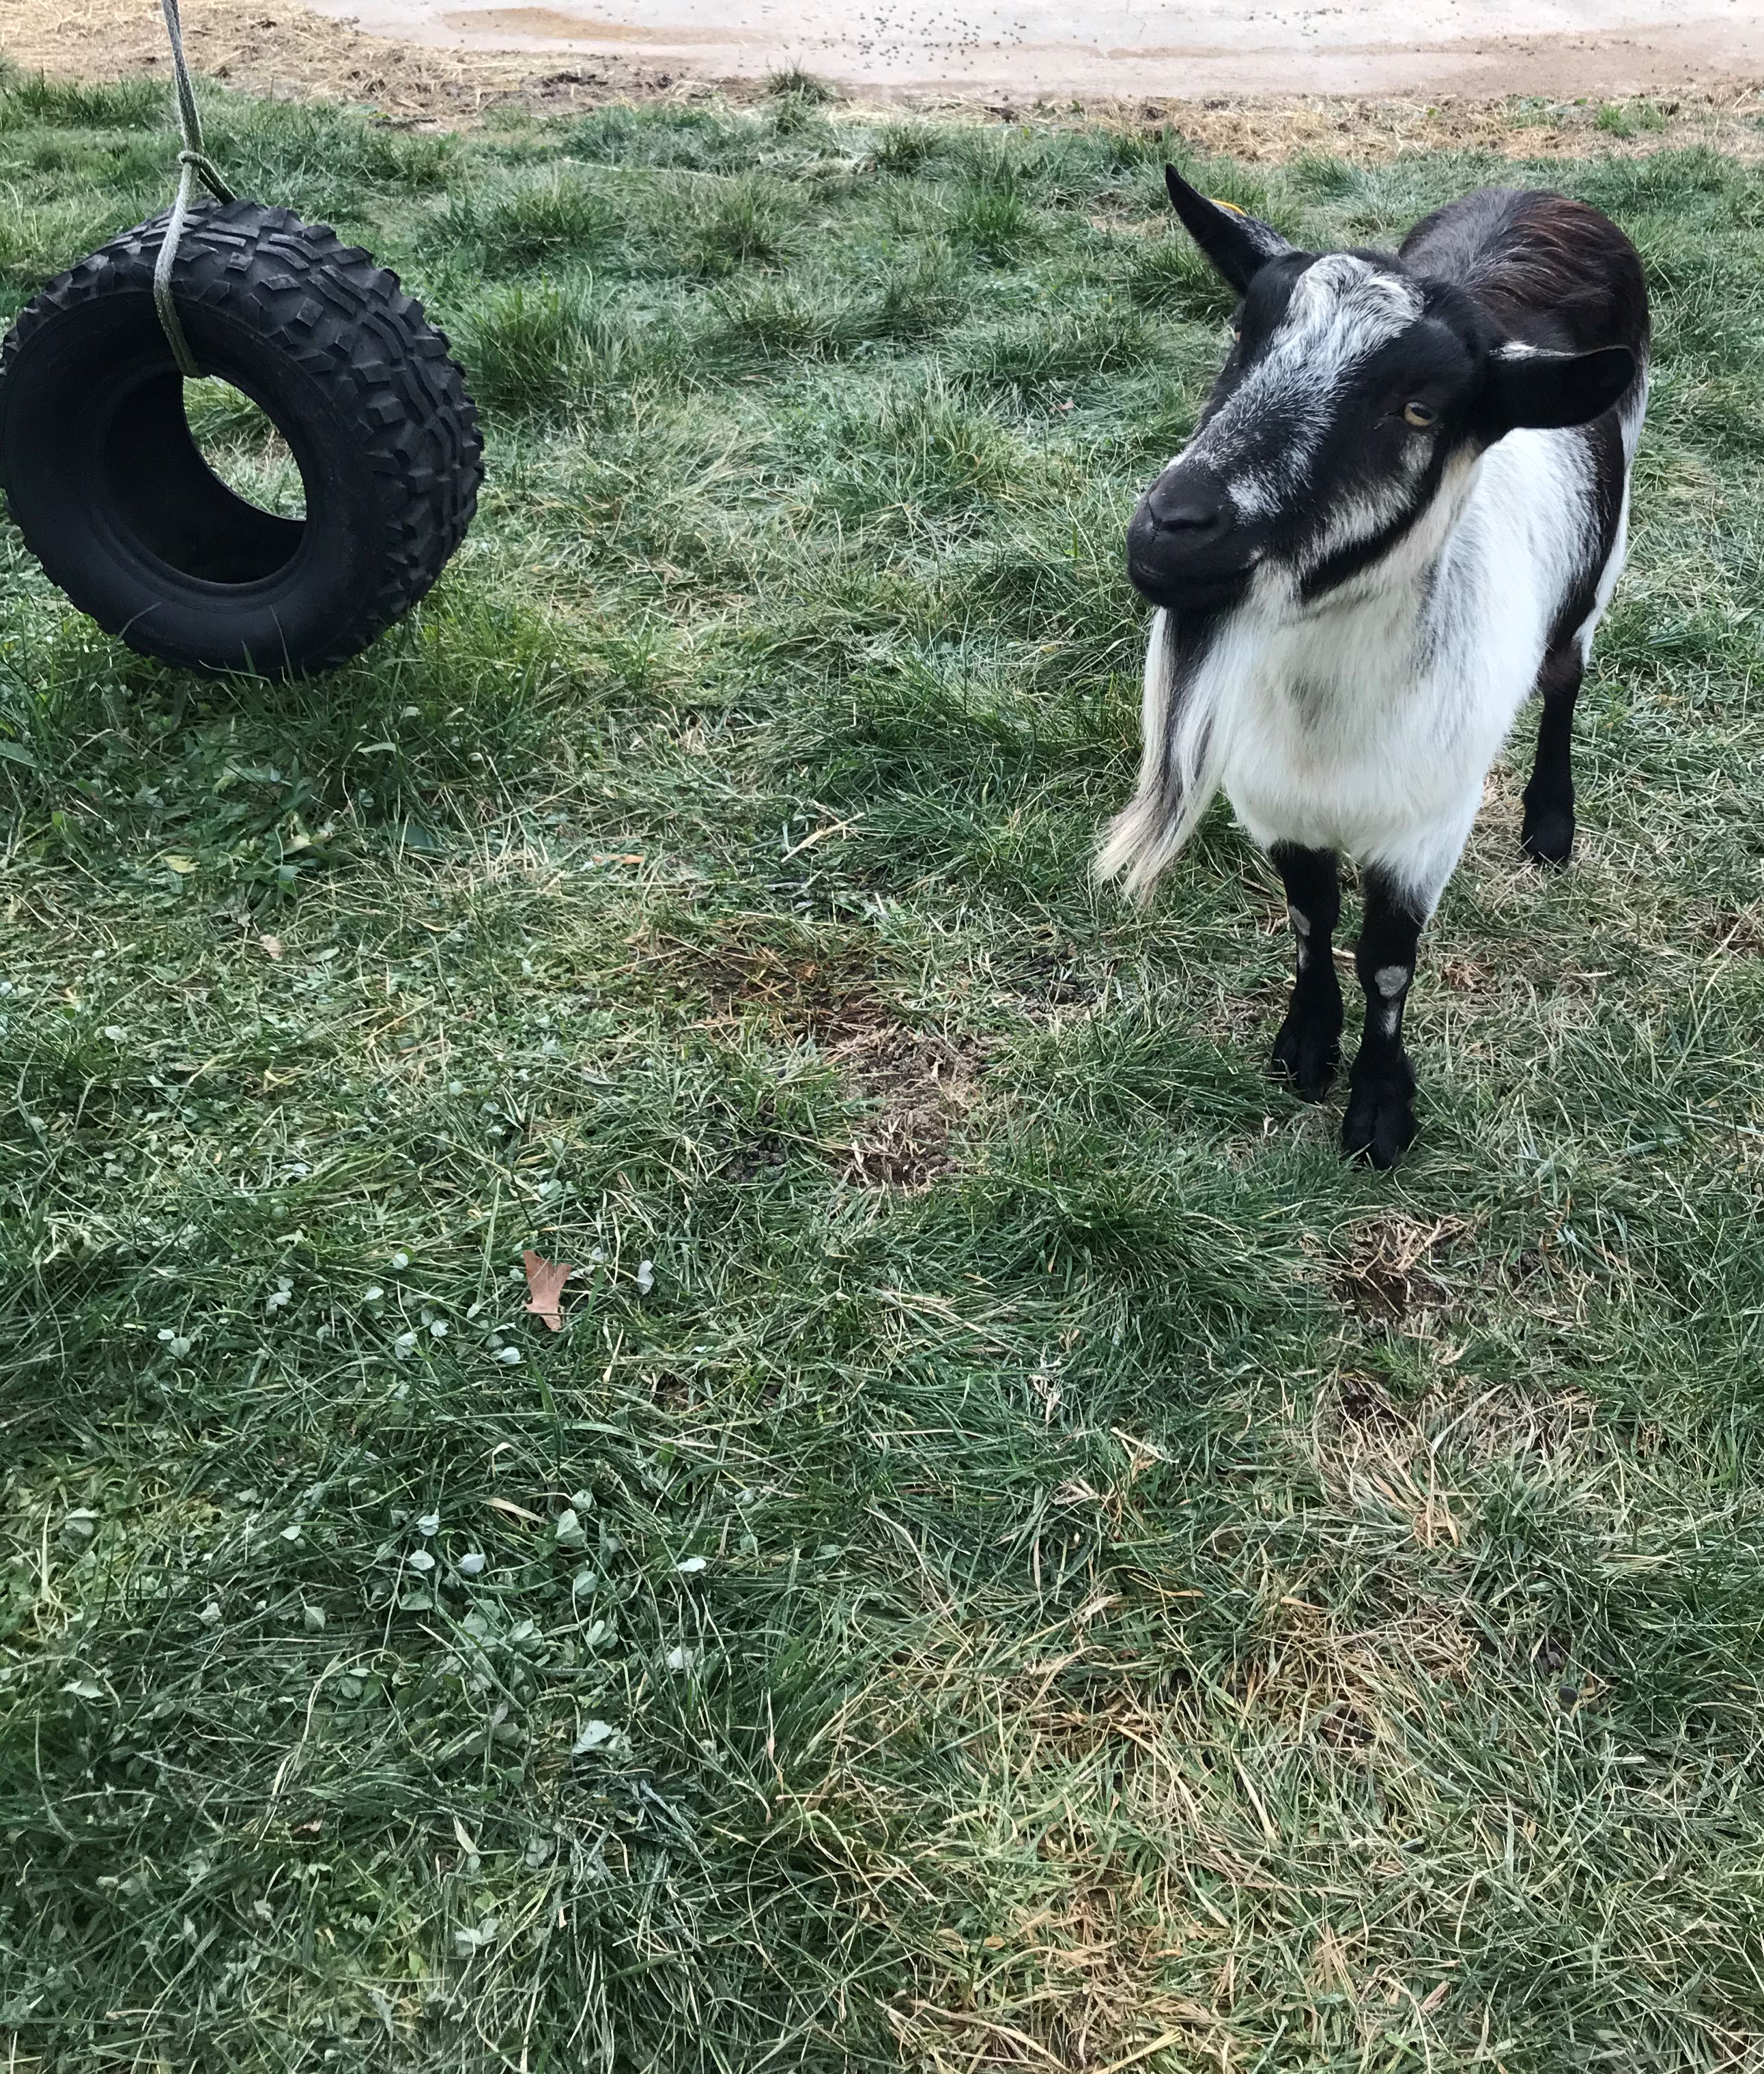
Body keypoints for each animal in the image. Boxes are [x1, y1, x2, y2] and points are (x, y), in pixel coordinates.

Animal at [1102, 172, 1658, 1169]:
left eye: (1419, 410)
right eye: (1241, 340)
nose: (1174, 526)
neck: (1328, 714)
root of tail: (1546, 192)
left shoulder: (1426, 825)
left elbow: (1387, 961)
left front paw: (1378, 1111)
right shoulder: (1274, 802)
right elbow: (1309, 918)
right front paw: (1303, 1046)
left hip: (1602, 557)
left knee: (1566, 676)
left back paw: (1550, 824)